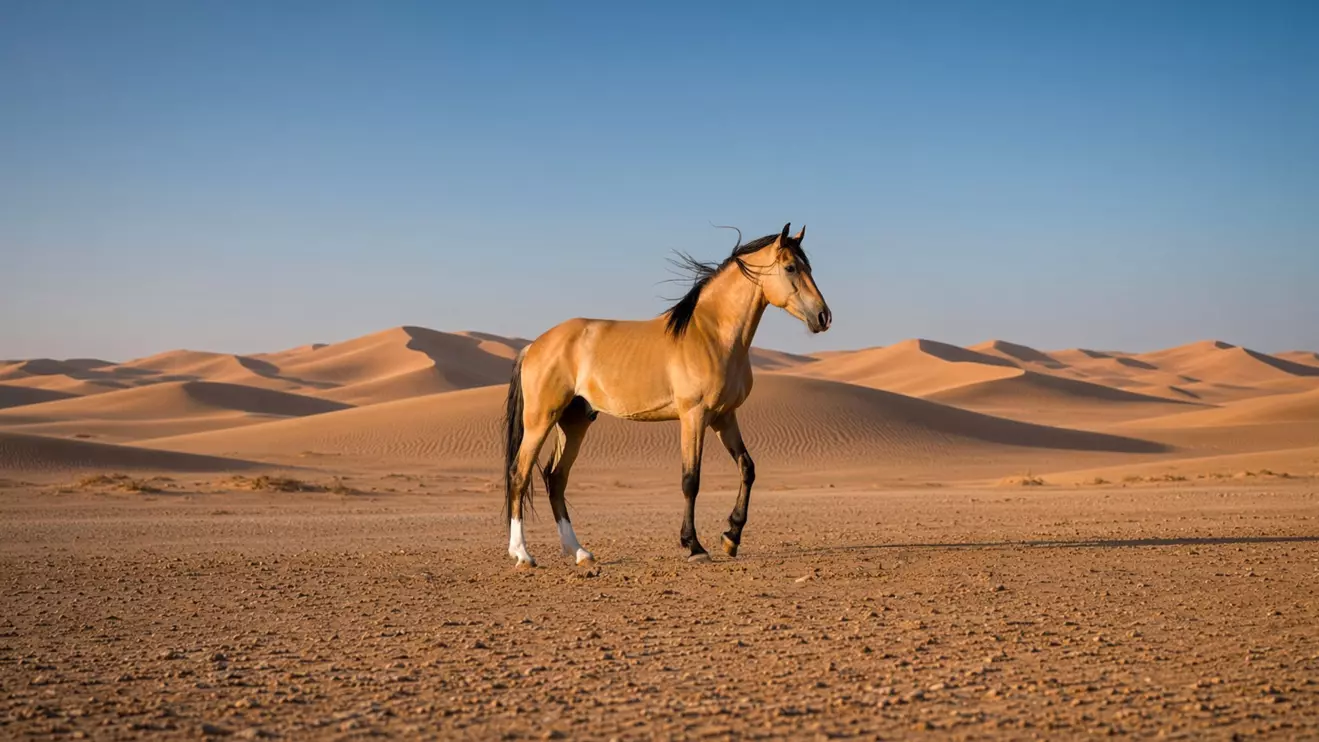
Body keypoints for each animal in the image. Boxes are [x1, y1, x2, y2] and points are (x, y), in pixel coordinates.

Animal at [501, 222, 831, 567]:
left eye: (809, 267)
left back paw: (579, 552)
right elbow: (691, 480)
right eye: (791, 267)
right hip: (541, 420)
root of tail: (534, 345)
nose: (823, 317)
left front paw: (731, 536)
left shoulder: (724, 417)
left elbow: (747, 468)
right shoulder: (693, 416)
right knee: (519, 475)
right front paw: (695, 546)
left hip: (574, 422)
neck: (712, 335)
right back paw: (522, 553)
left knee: (555, 478)